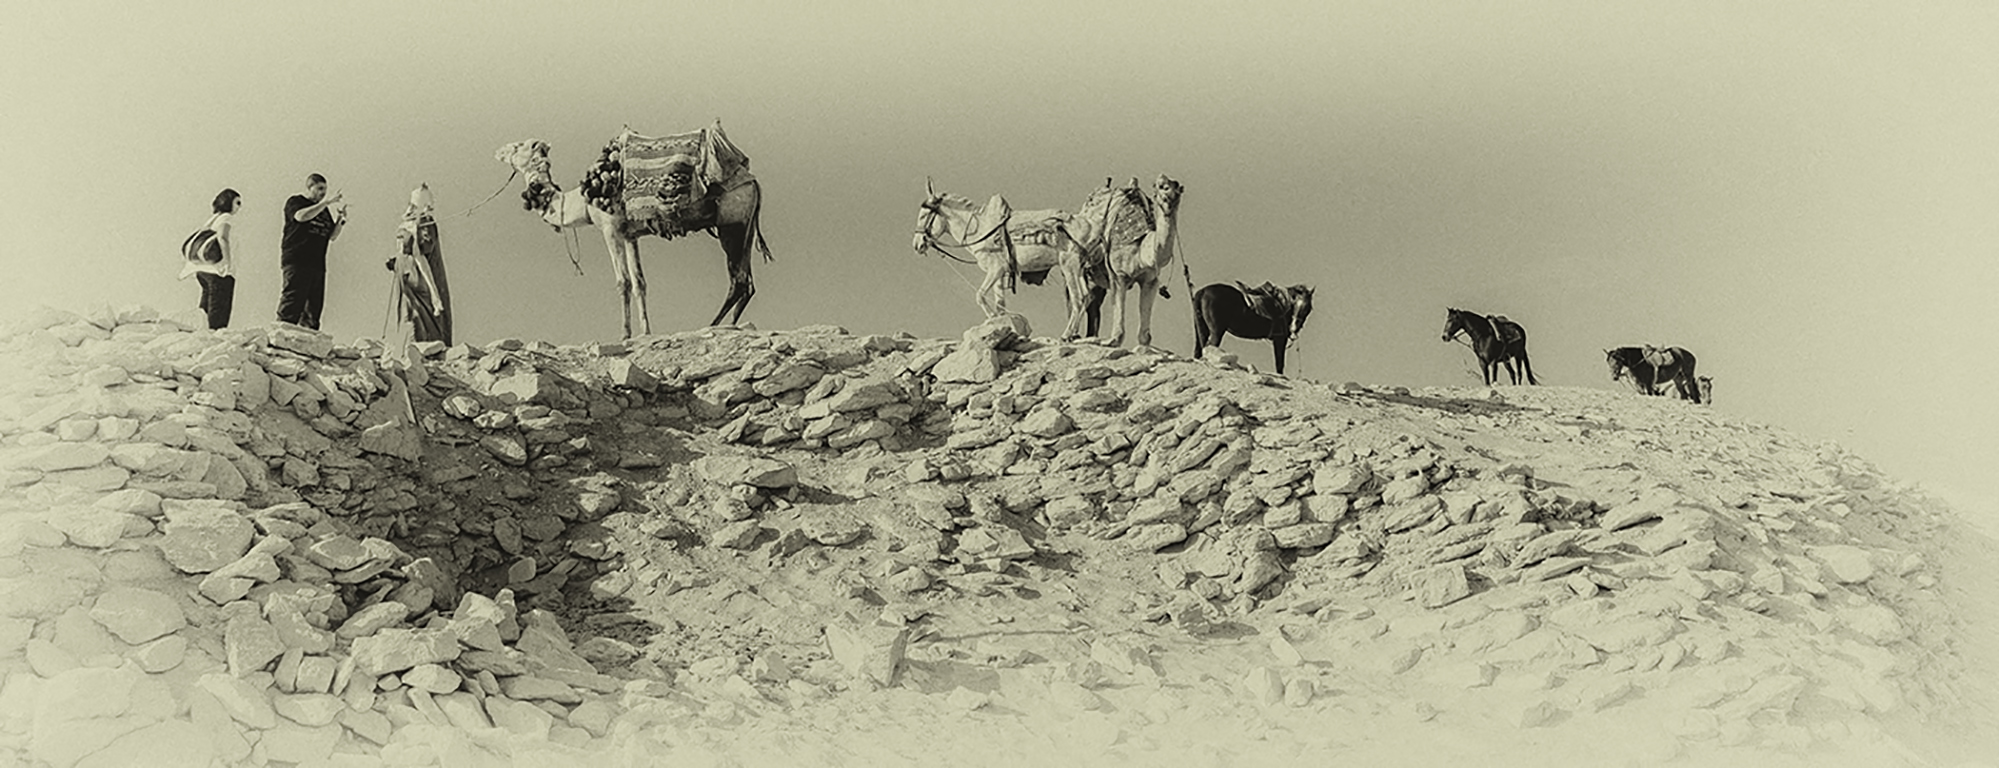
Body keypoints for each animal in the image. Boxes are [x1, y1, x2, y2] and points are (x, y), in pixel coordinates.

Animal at [496, 126, 770, 339]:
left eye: (518, 146)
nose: (498, 151)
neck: (583, 200)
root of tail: (753, 182)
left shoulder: (611, 229)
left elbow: (623, 281)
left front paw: (625, 334)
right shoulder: (630, 235)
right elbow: (640, 282)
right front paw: (645, 332)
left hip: (731, 223)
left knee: (738, 280)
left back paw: (712, 325)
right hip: (745, 225)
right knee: (747, 282)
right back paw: (729, 324)